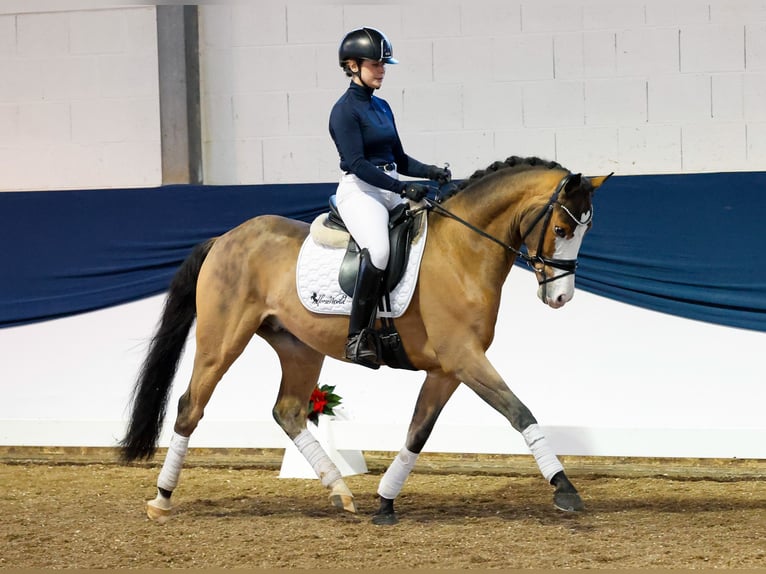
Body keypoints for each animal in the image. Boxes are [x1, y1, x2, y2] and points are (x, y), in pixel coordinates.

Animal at [120, 156, 612, 528]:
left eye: (586, 231)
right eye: (563, 230)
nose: (561, 297)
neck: (462, 249)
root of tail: (225, 238)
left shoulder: (447, 369)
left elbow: (418, 432)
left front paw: (386, 502)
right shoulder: (463, 358)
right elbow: (519, 411)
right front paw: (565, 490)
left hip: (299, 347)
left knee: (288, 411)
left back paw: (339, 490)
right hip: (221, 341)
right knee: (191, 406)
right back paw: (162, 499)